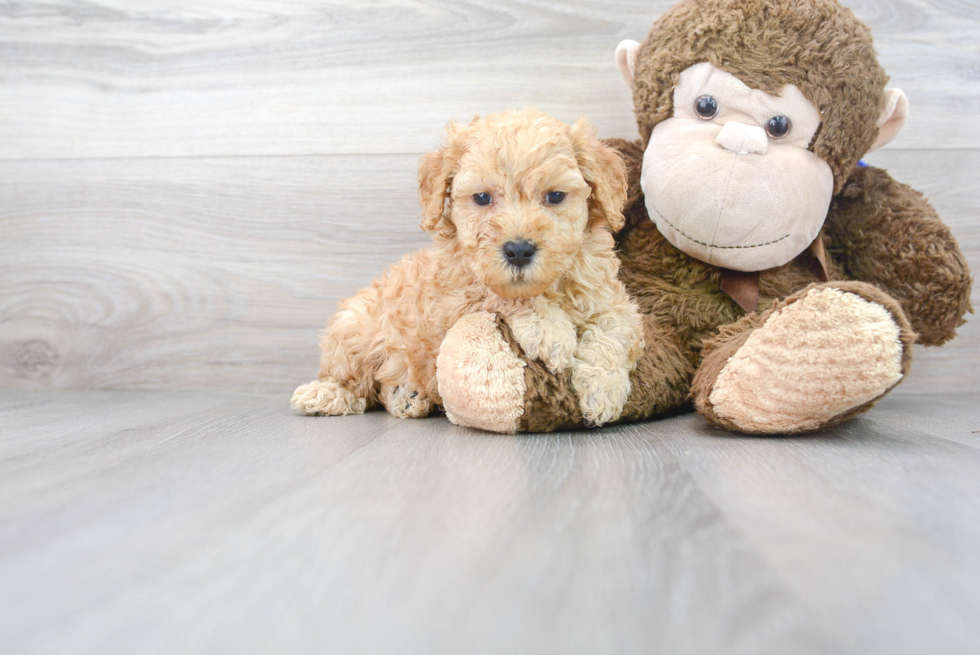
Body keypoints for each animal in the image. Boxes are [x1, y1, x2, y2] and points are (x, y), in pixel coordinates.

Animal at [290, 110, 644, 428]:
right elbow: (499, 295)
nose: (518, 250)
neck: (549, 287)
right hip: (355, 328)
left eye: (555, 196)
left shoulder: (613, 300)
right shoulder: (453, 302)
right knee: (352, 378)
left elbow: (613, 330)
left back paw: (407, 396)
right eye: (482, 197)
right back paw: (325, 394)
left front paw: (603, 390)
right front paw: (551, 331)